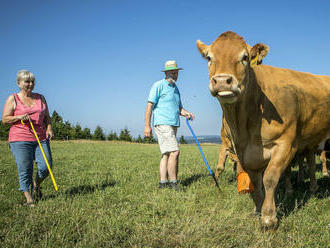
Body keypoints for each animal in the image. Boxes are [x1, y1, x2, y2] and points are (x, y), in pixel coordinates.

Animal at [196, 31, 330, 229]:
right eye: (209, 58)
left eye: (245, 57)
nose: (221, 81)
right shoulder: (243, 152)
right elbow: (255, 183)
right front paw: (257, 210)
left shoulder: (285, 144)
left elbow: (270, 178)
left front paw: (269, 217)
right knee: (312, 162)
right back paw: (313, 188)